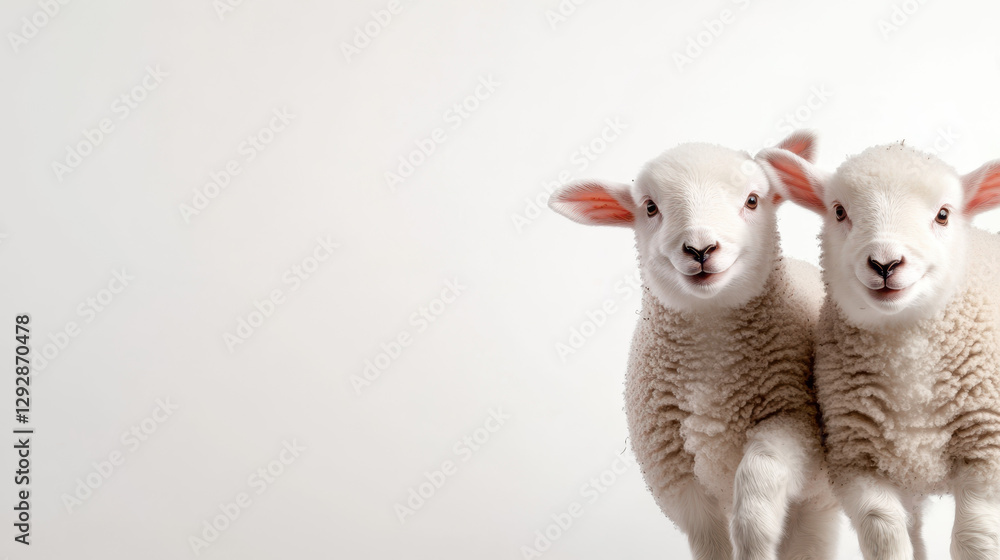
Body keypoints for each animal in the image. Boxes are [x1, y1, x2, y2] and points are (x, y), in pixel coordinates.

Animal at [549, 131, 839, 560]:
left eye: (753, 200)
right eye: (650, 207)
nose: (700, 249)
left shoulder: (791, 424)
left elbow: (758, 484)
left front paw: (754, 542)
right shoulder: (676, 474)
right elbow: (709, 539)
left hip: (816, 498)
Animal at [758, 141, 1000, 560]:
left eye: (943, 214)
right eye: (839, 211)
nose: (885, 263)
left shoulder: (985, 451)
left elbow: (975, 538)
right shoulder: (858, 462)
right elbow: (885, 536)